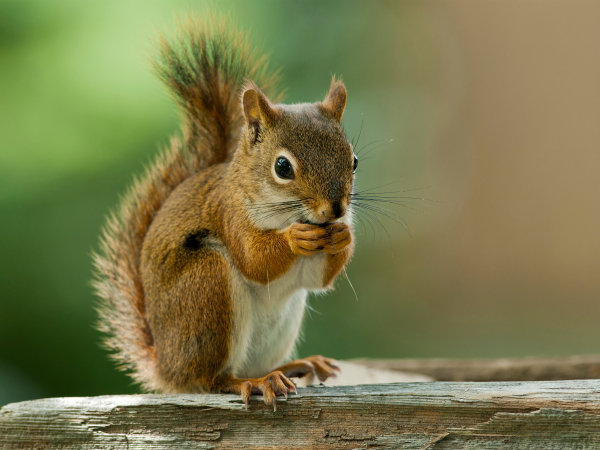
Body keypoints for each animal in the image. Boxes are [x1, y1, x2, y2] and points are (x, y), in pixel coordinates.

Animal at [92, 14, 356, 410]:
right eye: (282, 167)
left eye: (354, 160)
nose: (336, 208)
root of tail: (167, 367)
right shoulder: (229, 213)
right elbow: (254, 259)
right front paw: (295, 238)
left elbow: (317, 279)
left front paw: (344, 235)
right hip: (207, 287)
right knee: (211, 380)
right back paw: (254, 383)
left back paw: (294, 367)